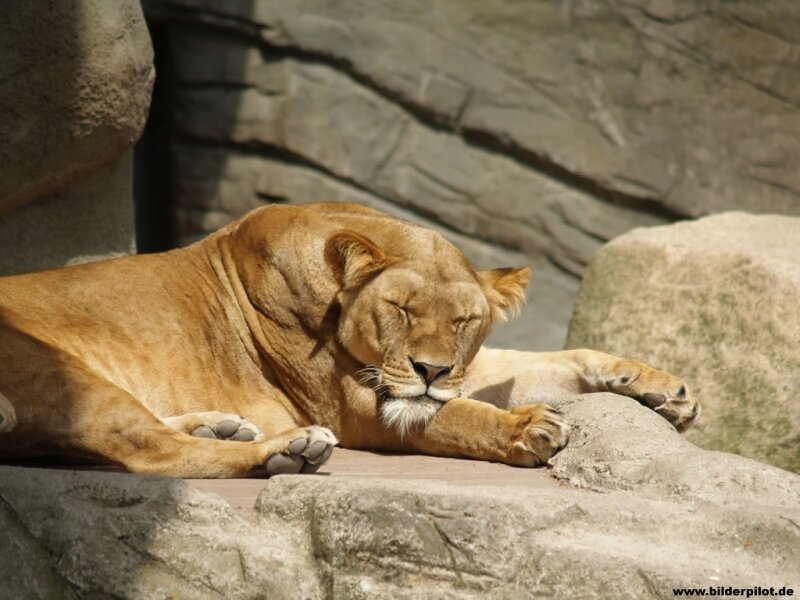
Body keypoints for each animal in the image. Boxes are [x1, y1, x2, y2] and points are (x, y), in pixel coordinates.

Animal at [0, 202, 698, 477]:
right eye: (400, 308)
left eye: (463, 322)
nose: (430, 370)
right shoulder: (356, 406)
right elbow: (463, 418)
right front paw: (528, 427)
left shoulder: (457, 370)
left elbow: (549, 360)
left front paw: (663, 390)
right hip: (59, 371)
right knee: (150, 453)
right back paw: (286, 450)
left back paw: (223, 426)